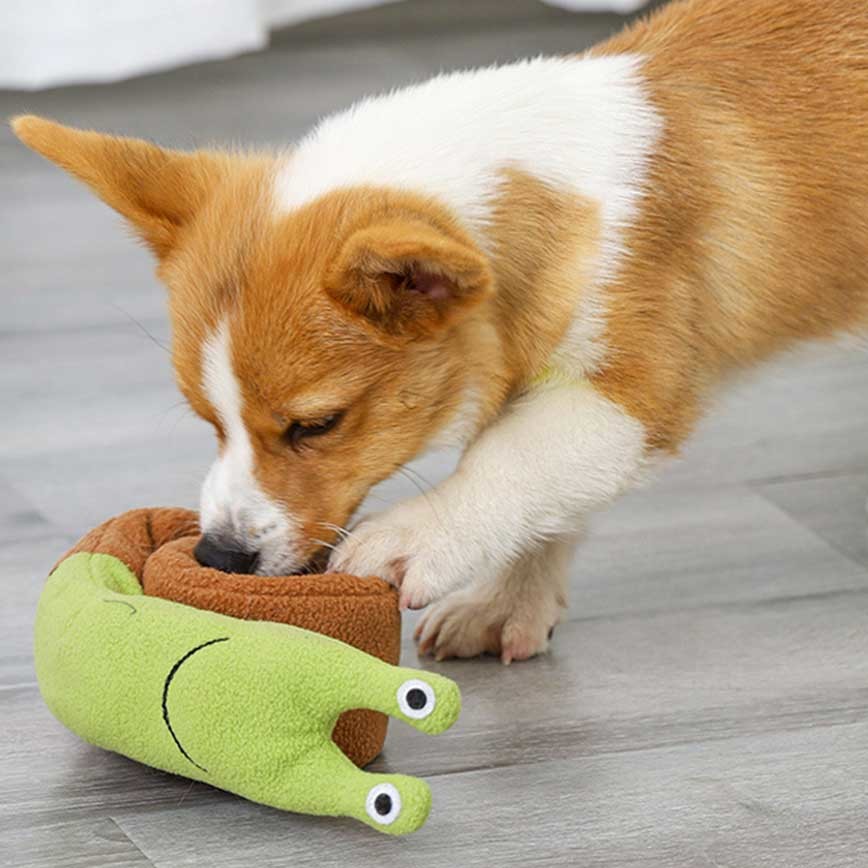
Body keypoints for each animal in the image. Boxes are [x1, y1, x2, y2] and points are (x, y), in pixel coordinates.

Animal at [13, 0, 868, 664]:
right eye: (208, 420)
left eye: (317, 425)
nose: (218, 554)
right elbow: (545, 495)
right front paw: (508, 604)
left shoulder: (627, 392)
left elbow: (511, 464)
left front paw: (418, 537)